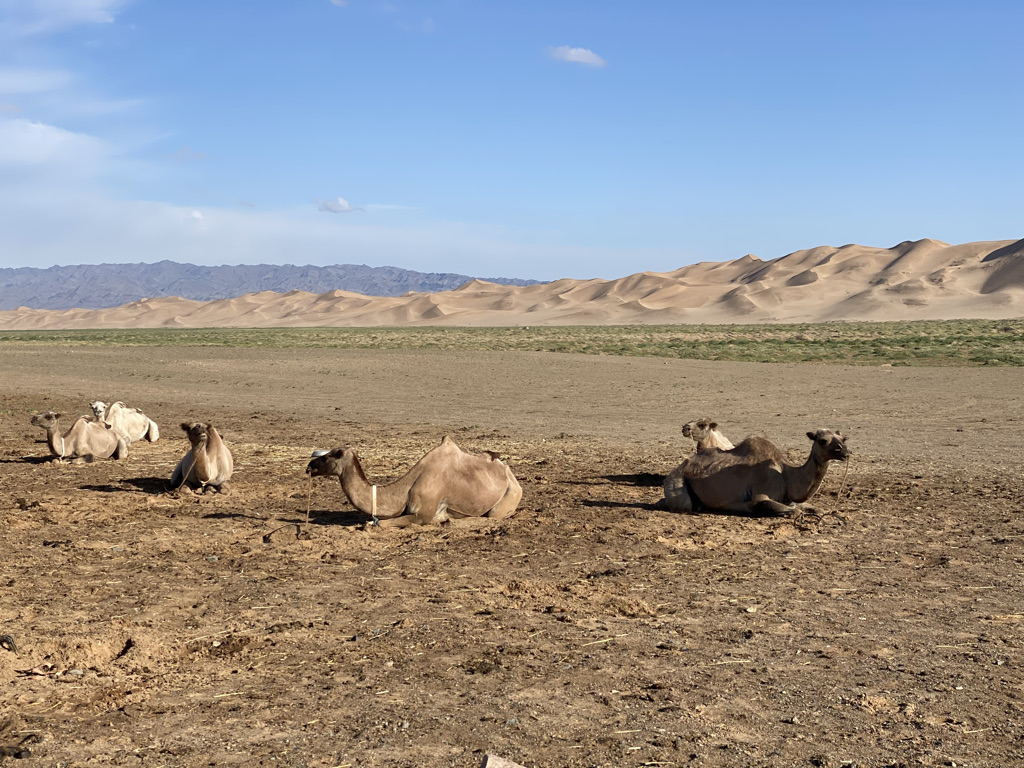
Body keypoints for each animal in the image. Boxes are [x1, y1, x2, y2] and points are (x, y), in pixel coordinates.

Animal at [305, 434, 524, 528]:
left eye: (329, 456)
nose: (309, 466)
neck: (404, 490)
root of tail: (510, 474)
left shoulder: (422, 514)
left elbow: (374, 524)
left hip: (510, 495)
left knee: (492, 516)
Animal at [663, 428, 847, 518]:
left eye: (844, 439)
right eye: (822, 441)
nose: (845, 452)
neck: (786, 474)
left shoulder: (790, 500)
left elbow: (817, 510)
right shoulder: (760, 495)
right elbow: (795, 511)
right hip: (677, 485)